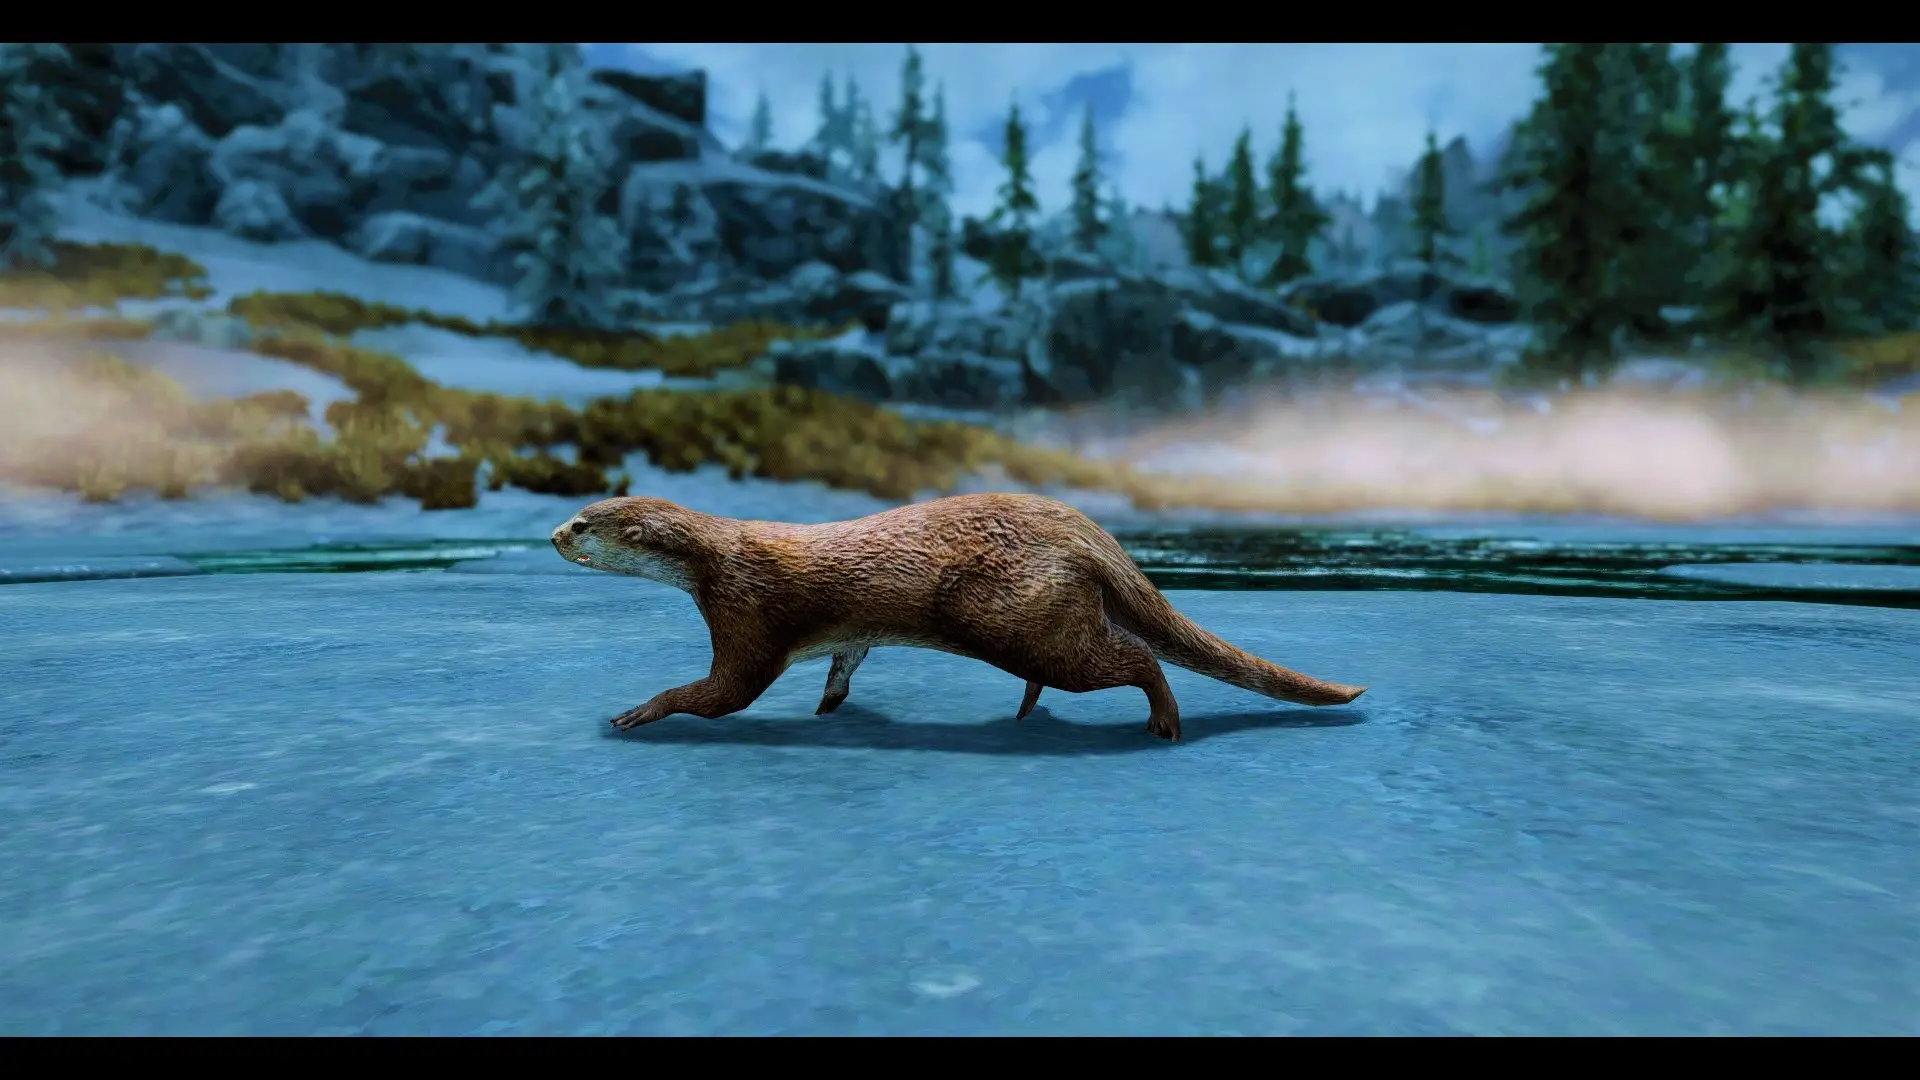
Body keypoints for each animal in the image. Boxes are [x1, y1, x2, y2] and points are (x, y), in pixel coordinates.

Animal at [551, 493, 1366, 742]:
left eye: (586, 522)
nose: (555, 534)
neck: (716, 556)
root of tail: (1077, 527)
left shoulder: (744, 613)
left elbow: (723, 693)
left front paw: (639, 711)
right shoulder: (847, 631)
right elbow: (845, 659)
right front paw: (832, 702)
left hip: (1019, 619)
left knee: (1137, 661)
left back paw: (1163, 723)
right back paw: (1029, 709)